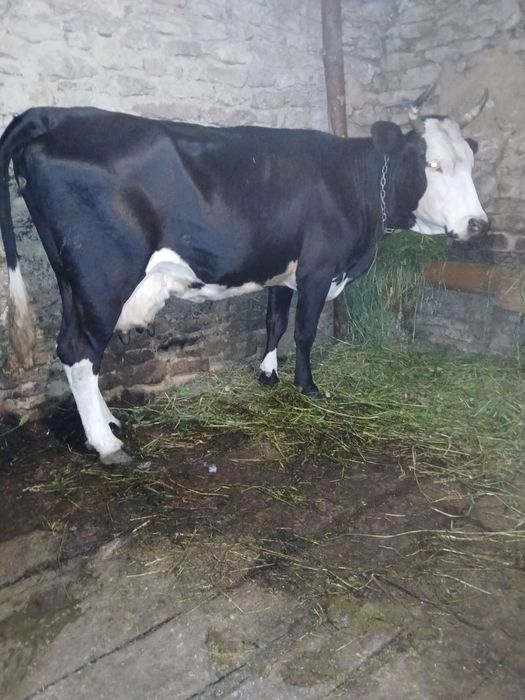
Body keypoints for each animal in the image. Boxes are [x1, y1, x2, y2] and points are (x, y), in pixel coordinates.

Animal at [0, 86, 488, 465]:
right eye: (433, 164)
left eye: (469, 163)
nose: (478, 224)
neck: (353, 184)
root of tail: (54, 115)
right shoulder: (318, 269)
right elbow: (305, 332)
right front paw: (308, 388)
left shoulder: (282, 269)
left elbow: (275, 322)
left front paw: (268, 375)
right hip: (102, 278)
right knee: (80, 351)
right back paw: (106, 444)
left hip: (72, 281)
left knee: (79, 350)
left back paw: (107, 422)